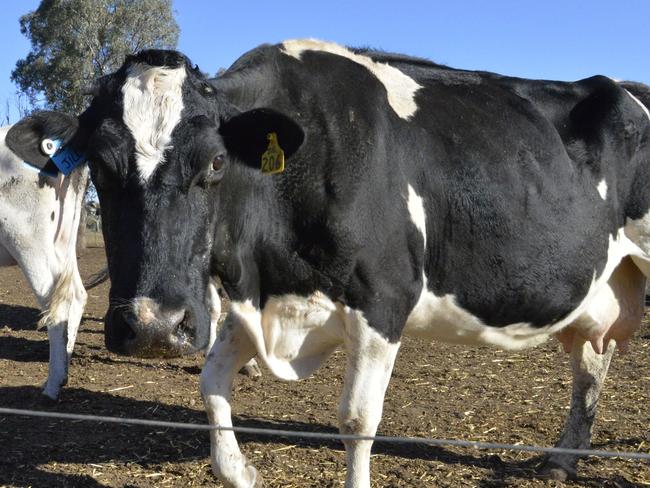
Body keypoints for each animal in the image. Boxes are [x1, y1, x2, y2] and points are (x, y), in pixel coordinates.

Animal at [11, 41, 648, 484]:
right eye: (98, 162)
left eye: (216, 162)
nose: (152, 327)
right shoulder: (263, 295)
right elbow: (211, 381)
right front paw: (240, 470)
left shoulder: (383, 299)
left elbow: (357, 420)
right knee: (592, 364)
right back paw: (560, 461)